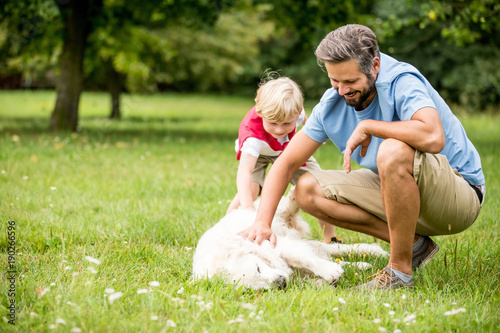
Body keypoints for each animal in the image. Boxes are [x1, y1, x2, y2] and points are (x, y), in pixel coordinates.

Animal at [193, 192, 388, 288]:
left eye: (257, 268)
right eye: (254, 288)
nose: (281, 283)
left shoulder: (274, 244)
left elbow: (306, 259)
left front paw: (329, 272)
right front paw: (329, 276)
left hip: (276, 214)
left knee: (288, 206)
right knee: (332, 252)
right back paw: (367, 260)